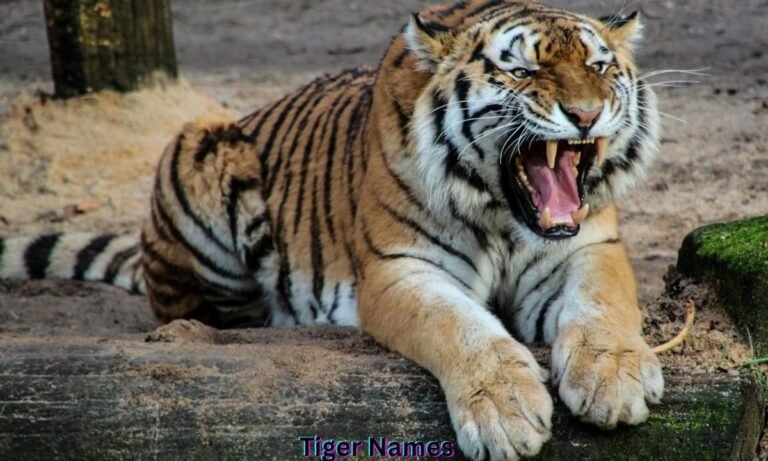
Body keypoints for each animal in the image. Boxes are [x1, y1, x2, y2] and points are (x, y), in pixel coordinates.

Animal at [0, 1, 664, 459]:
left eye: (599, 66)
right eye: (523, 71)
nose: (586, 114)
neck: (504, 214)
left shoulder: (589, 247)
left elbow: (603, 305)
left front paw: (614, 379)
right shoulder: (400, 269)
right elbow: (461, 327)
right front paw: (505, 411)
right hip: (200, 146)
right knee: (197, 312)